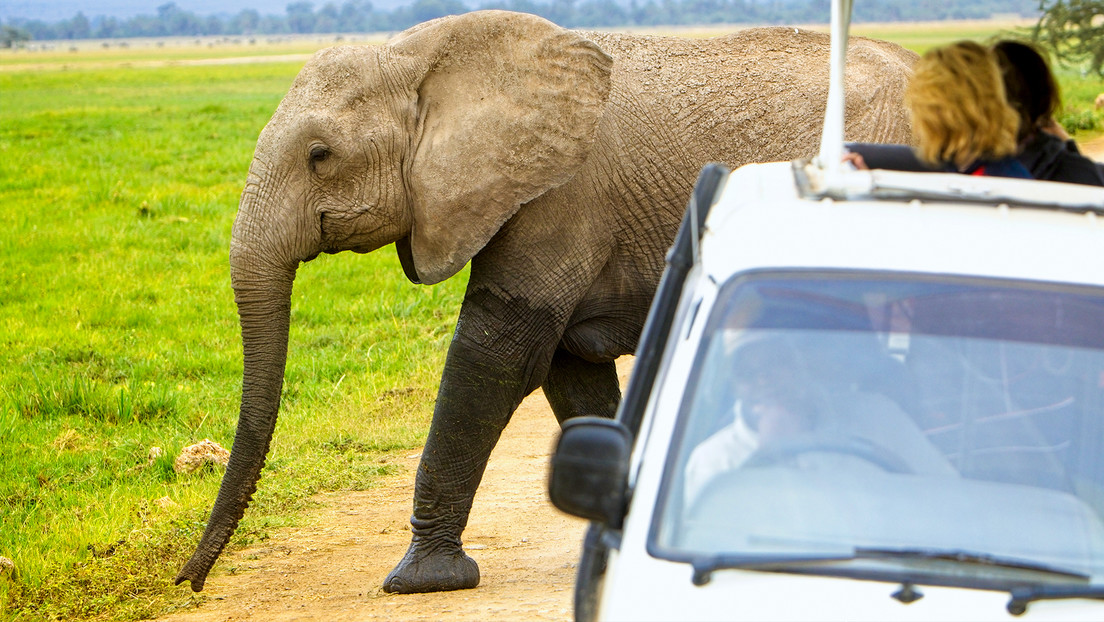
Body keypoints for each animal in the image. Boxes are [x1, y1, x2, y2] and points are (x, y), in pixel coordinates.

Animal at [172, 8, 914, 592]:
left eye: (320, 155)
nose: (188, 581)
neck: (420, 57)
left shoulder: (559, 196)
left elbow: (499, 352)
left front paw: (419, 580)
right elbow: (568, 372)